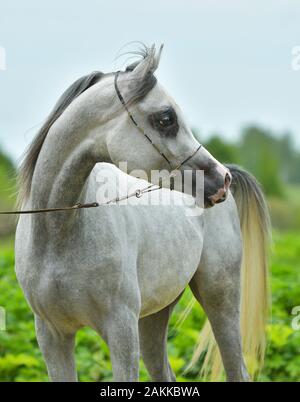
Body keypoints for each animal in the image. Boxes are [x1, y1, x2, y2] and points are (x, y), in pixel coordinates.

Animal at [15, 45, 270, 382]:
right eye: (166, 118)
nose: (221, 179)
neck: (57, 233)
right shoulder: (52, 336)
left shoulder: (121, 332)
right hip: (154, 317)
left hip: (221, 300)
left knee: (236, 368)